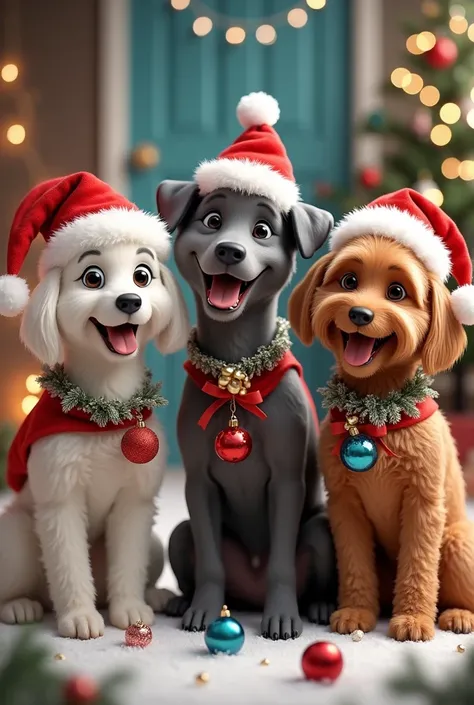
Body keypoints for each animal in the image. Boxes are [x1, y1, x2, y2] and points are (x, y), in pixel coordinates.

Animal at [0, 175, 188, 640]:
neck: (103, 411)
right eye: (93, 277)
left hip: (154, 544)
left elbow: (127, 564)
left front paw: (131, 609)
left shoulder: (135, 502)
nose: (129, 301)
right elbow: (68, 565)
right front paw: (79, 616)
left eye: (143, 276)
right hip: (15, 537)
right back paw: (21, 606)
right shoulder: (59, 498)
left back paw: (155, 594)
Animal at [156, 177, 336, 640]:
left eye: (262, 230)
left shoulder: (287, 482)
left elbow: (281, 564)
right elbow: (210, 562)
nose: (229, 251)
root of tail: (249, 594)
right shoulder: (199, 484)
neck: (235, 375)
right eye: (212, 221)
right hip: (180, 536)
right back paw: (184, 600)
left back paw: (320, 605)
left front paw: (283, 616)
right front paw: (203, 610)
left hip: (320, 532)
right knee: (191, 548)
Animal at [288, 234, 474, 640]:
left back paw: (457, 614)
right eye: (348, 282)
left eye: (396, 291)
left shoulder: (423, 504)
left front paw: (414, 618)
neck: (378, 415)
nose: (360, 314)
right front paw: (356, 611)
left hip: (456, 542)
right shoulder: (345, 505)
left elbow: (419, 566)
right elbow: (355, 564)